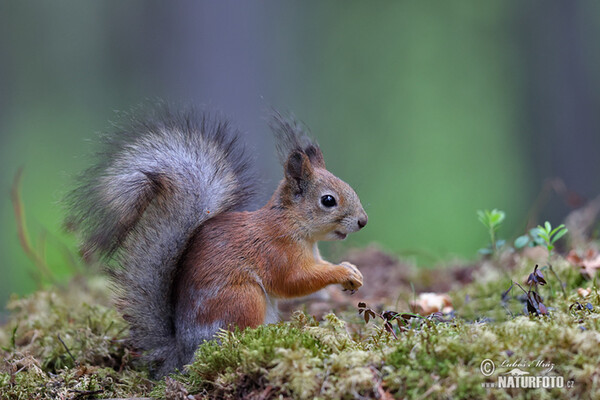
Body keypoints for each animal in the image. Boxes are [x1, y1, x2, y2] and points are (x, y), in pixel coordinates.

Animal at [65, 104, 366, 376]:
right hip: (243, 298)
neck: (295, 227)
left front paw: (352, 272)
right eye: (328, 201)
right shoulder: (275, 252)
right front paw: (342, 273)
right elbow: (294, 281)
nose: (363, 221)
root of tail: (183, 356)